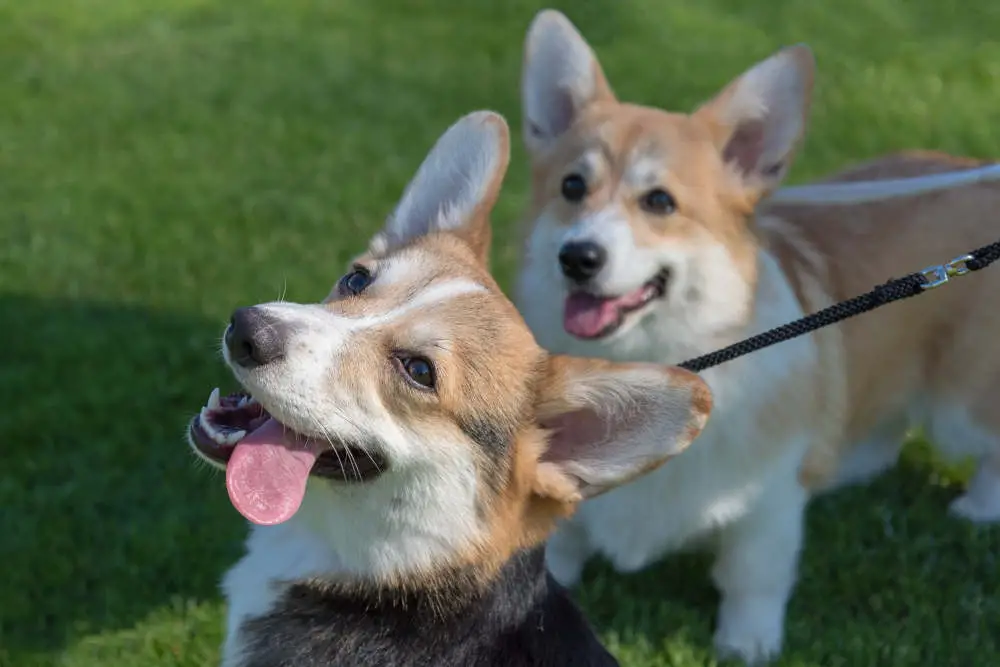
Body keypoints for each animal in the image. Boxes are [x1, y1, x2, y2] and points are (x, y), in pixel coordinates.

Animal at [512, 9, 1000, 664]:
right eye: (571, 187)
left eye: (659, 201)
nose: (578, 257)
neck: (648, 356)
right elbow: (558, 555)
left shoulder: (767, 506)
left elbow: (752, 577)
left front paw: (746, 644)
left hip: (963, 397)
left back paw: (976, 509)